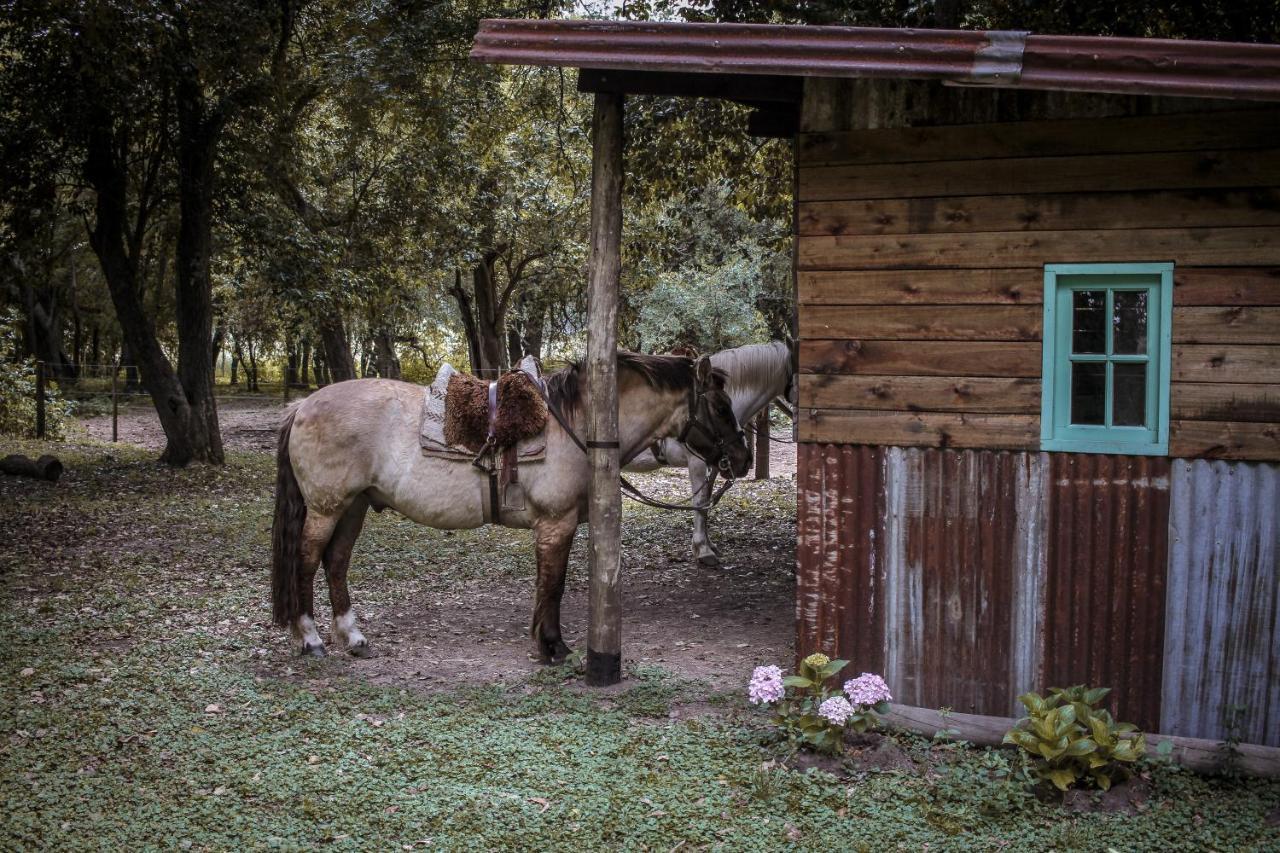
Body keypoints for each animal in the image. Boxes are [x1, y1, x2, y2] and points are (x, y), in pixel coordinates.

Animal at [268, 348, 747, 660]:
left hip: (354, 506)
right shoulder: (556, 523)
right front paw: (553, 646)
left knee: (336, 562)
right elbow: (552, 585)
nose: (741, 459)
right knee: (307, 561)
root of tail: (302, 405)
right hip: (327, 508)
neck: (575, 425)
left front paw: (546, 641)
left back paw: (352, 637)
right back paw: (310, 639)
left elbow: (547, 585)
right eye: (722, 407)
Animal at [622, 338, 788, 563]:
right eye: (721, 409)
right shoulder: (698, 462)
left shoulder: (717, 462)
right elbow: (700, 501)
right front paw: (703, 550)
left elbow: (707, 501)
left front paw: (708, 545)